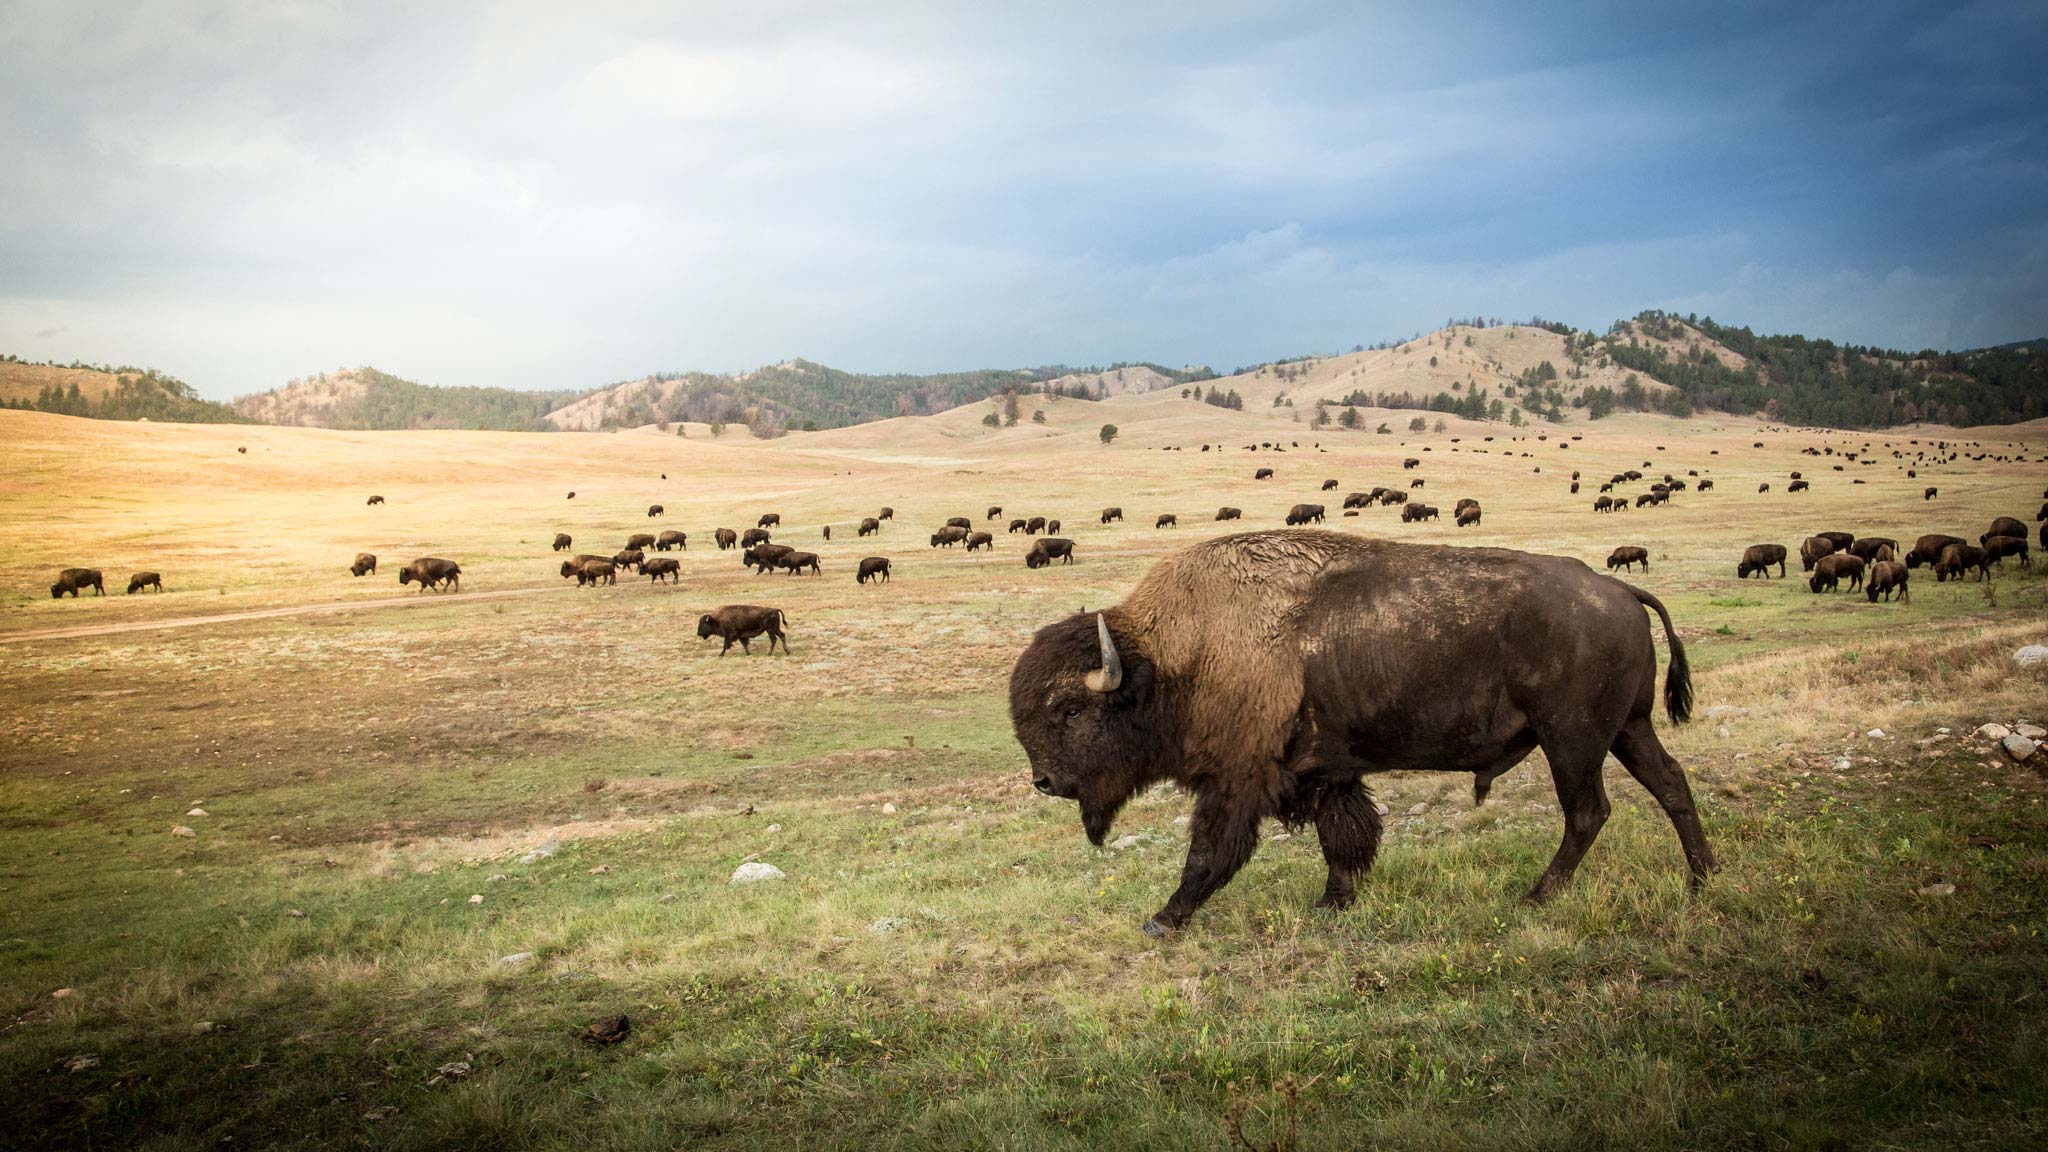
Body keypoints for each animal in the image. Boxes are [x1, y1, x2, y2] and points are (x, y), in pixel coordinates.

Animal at [1008, 530, 1708, 936]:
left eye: (1071, 711)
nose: (1044, 781)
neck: (1176, 654)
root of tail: (1618, 588)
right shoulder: (1327, 770)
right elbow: (1343, 836)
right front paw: (1334, 903)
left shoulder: (1238, 780)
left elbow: (1210, 852)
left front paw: (1163, 920)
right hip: (1627, 730)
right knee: (1670, 784)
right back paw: (1702, 878)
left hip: (1572, 740)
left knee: (1588, 811)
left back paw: (1536, 897)